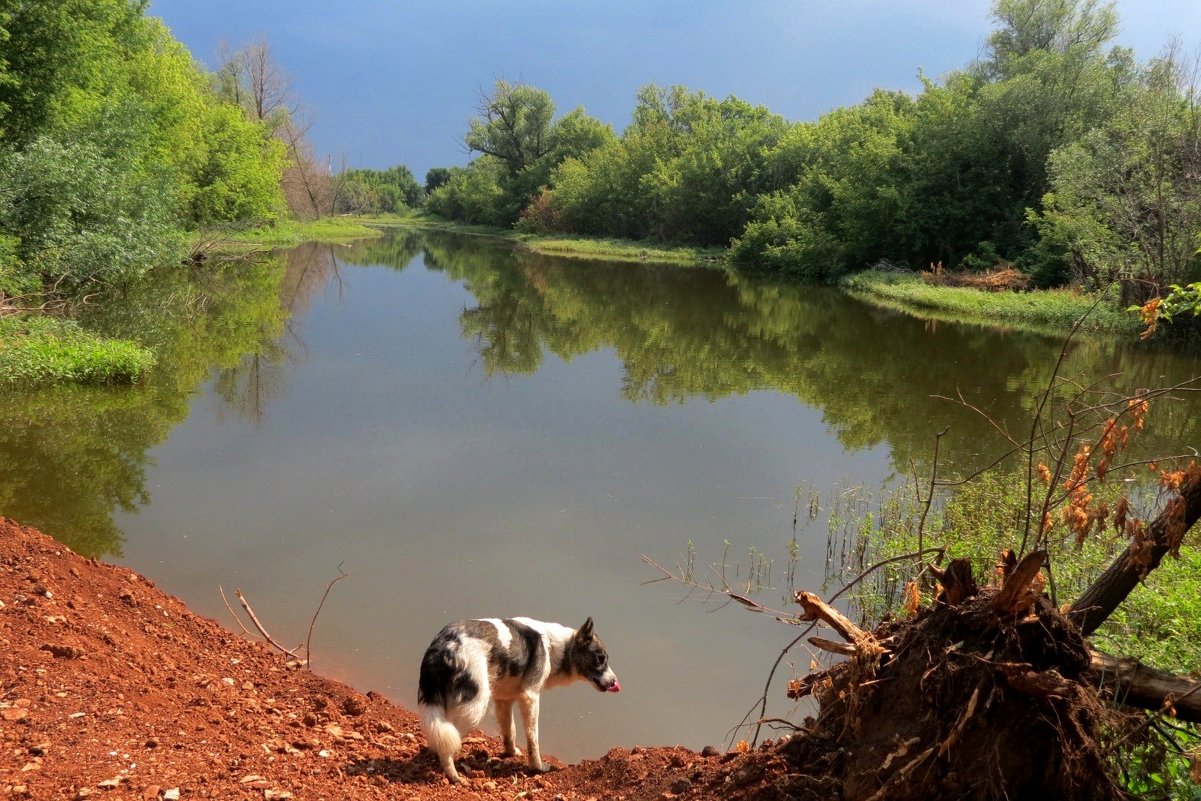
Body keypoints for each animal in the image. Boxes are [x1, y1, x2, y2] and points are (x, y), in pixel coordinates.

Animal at [417, 619, 619, 782]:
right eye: (600, 659)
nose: (615, 683)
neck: (555, 648)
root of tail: (444, 645)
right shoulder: (530, 697)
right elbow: (533, 739)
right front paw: (538, 767)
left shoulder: (504, 700)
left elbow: (509, 731)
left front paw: (510, 754)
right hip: (475, 707)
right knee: (448, 743)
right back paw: (453, 776)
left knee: (438, 737)